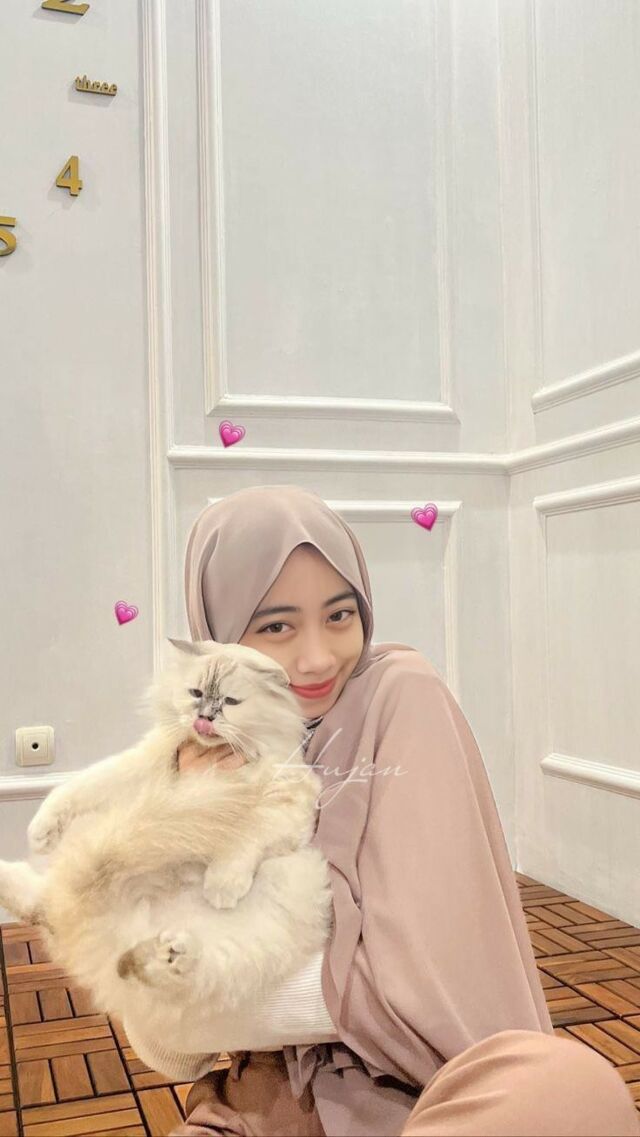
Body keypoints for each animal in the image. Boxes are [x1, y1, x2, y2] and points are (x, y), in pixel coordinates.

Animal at [0, 639, 332, 1050]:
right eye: (196, 694)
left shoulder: (290, 801)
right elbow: (74, 789)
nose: (204, 717)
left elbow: (246, 838)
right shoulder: (141, 764)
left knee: (158, 967)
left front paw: (221, 887)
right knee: (39, 905)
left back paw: (169, 952)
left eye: (231, 701)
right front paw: (41, 831)